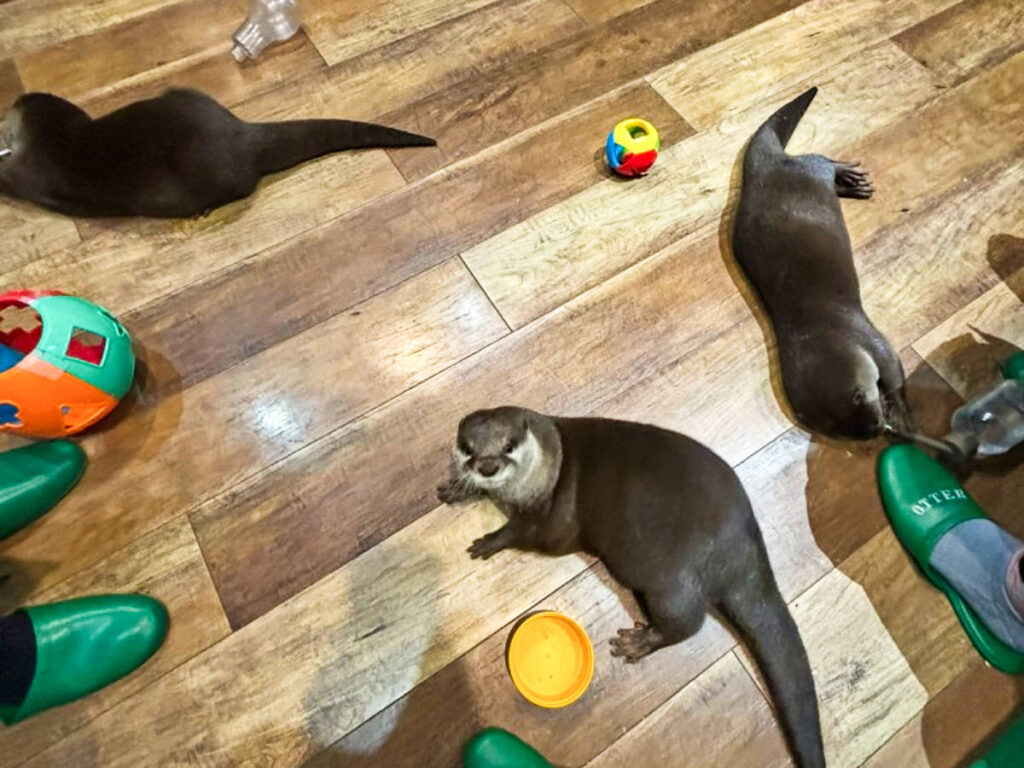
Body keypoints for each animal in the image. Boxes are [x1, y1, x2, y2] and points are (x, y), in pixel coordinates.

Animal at [437, 407, 825, 768]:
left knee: (688, 622)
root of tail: (742, 547)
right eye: (468, 448)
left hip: (668, 580)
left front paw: (489, 541)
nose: (487, 467)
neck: (545, 469)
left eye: (508, 446)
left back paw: (639, 642)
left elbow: (524, 535)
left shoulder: (553, 522)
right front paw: (457, 487)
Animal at [732, 86, 910, 440]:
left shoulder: (869, 338)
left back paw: (849, 173)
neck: (822, 332)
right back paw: (853, 185)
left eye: (859, 396)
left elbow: (895, 371)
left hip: (806, 169)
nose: (875, 429)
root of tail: (766, 167)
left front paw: (901, 415)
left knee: (820, 159)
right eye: (844, 432)